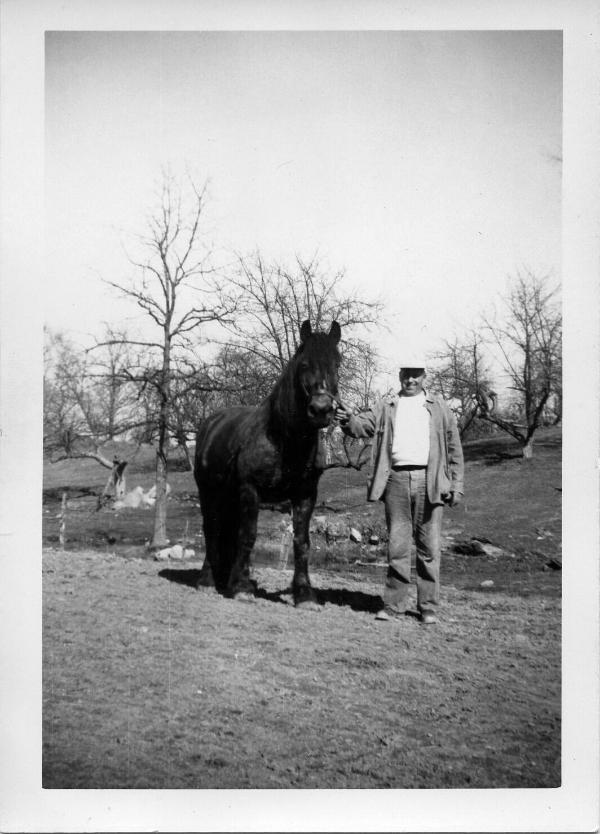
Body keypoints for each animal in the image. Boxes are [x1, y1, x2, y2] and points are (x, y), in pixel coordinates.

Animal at [194, 320, 341, 608]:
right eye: (304, 364)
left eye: (338, 363)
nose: (321, 410)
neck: (283, 439)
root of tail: (211, 424)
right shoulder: (250, 491)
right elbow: (248, 535)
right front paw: (241, 588)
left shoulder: (305, 495)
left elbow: (302, 542)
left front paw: (304, 594)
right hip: (209, 495)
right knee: (212, 530)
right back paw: (207, 581)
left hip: (229, 497)